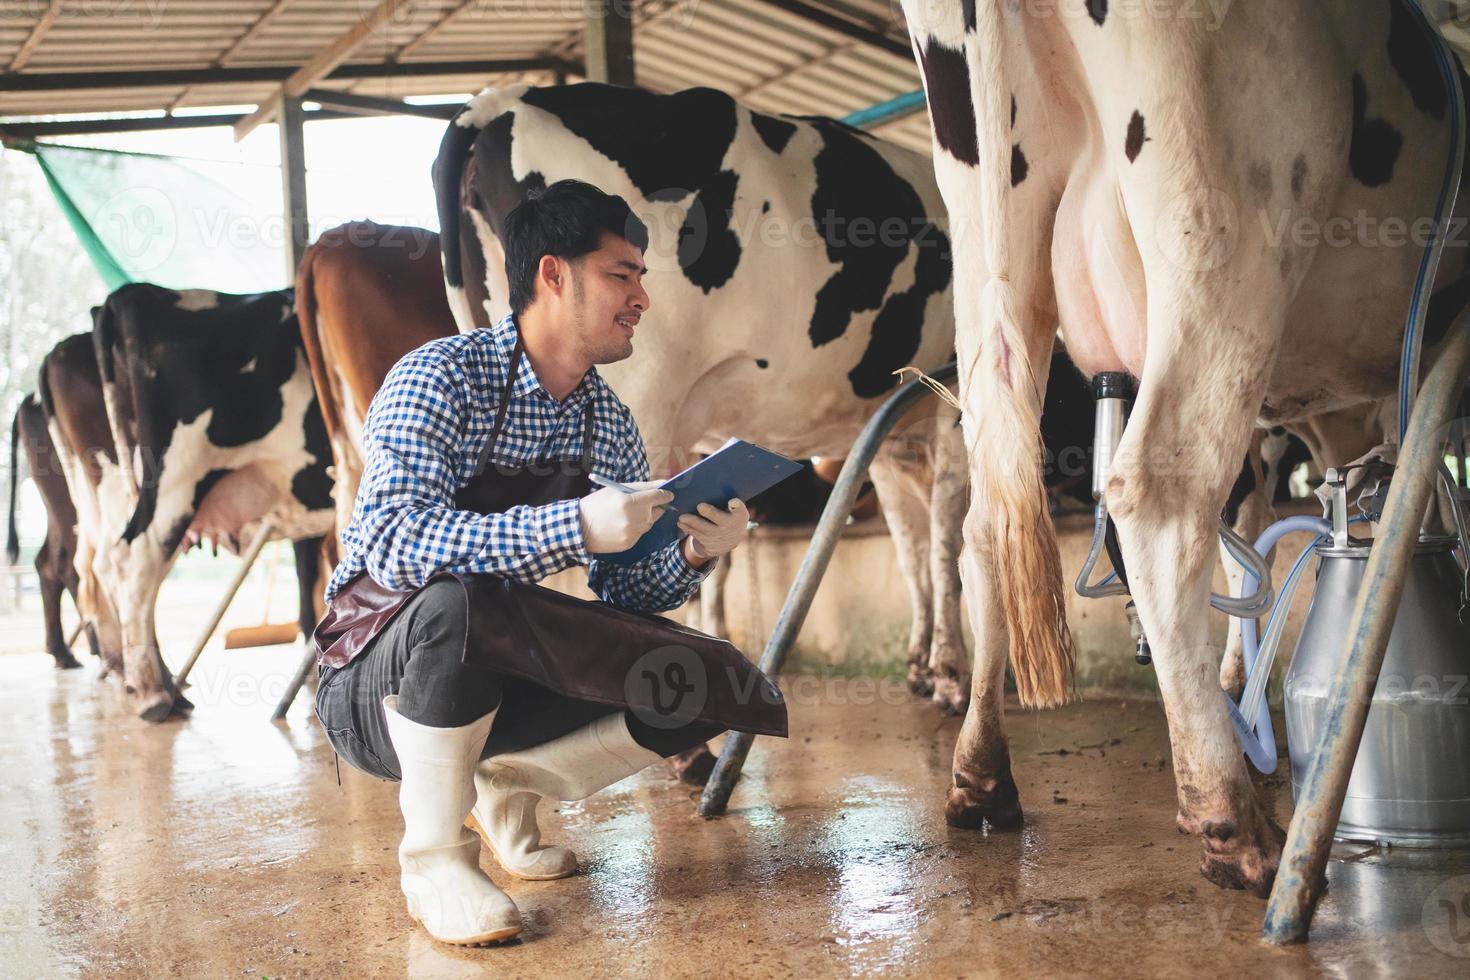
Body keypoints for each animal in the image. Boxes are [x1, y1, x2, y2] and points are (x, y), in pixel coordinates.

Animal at [432, 82, 976, 714]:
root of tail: (496, 100)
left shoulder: (887, 424)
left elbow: (910, 541)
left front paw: (921, 665)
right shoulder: (951, 392)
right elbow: (946, 534)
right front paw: (950, 675)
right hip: (642, 389)